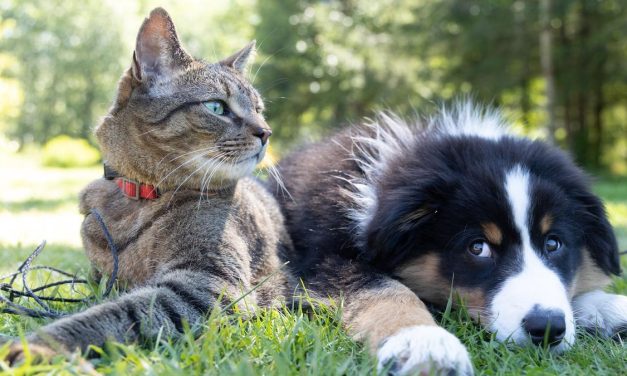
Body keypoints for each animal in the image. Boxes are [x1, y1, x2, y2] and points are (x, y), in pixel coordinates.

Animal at [4, 7, 292, 362]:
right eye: (216, 107)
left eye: (259, 110)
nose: (266, 132)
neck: (138, 198)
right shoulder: (102, 278)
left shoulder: (208, 284)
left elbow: (114, 314)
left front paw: (39, 345)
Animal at [272, 101, 624, 374]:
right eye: (477, 248)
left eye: (553, 243)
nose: (547, 327)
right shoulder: (321, 259)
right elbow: (385, 289)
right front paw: (423, 342)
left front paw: (609, 307)